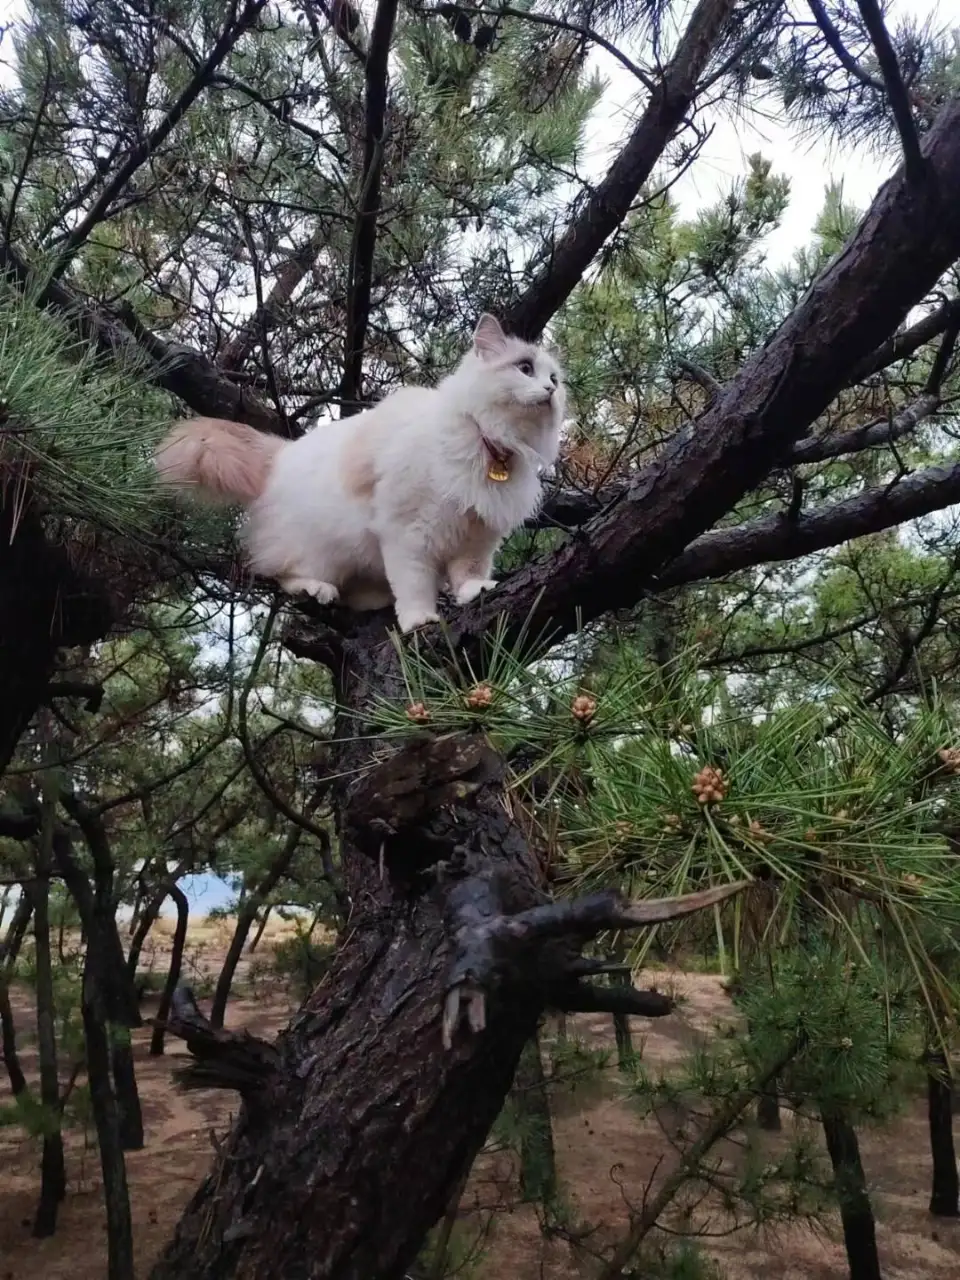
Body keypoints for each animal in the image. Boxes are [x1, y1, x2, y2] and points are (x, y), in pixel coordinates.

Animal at [154, 311, 568, 629]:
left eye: (554, 379)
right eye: (524, 368)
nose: (550, 390)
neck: (493, 445)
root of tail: (282, 453)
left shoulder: (477, 538)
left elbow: (469, 574)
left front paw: (474, 592)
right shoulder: (409, 532)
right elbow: (415, 584)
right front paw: (419, 621)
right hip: (318, 550)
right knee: (281, 575)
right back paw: (317, 589)